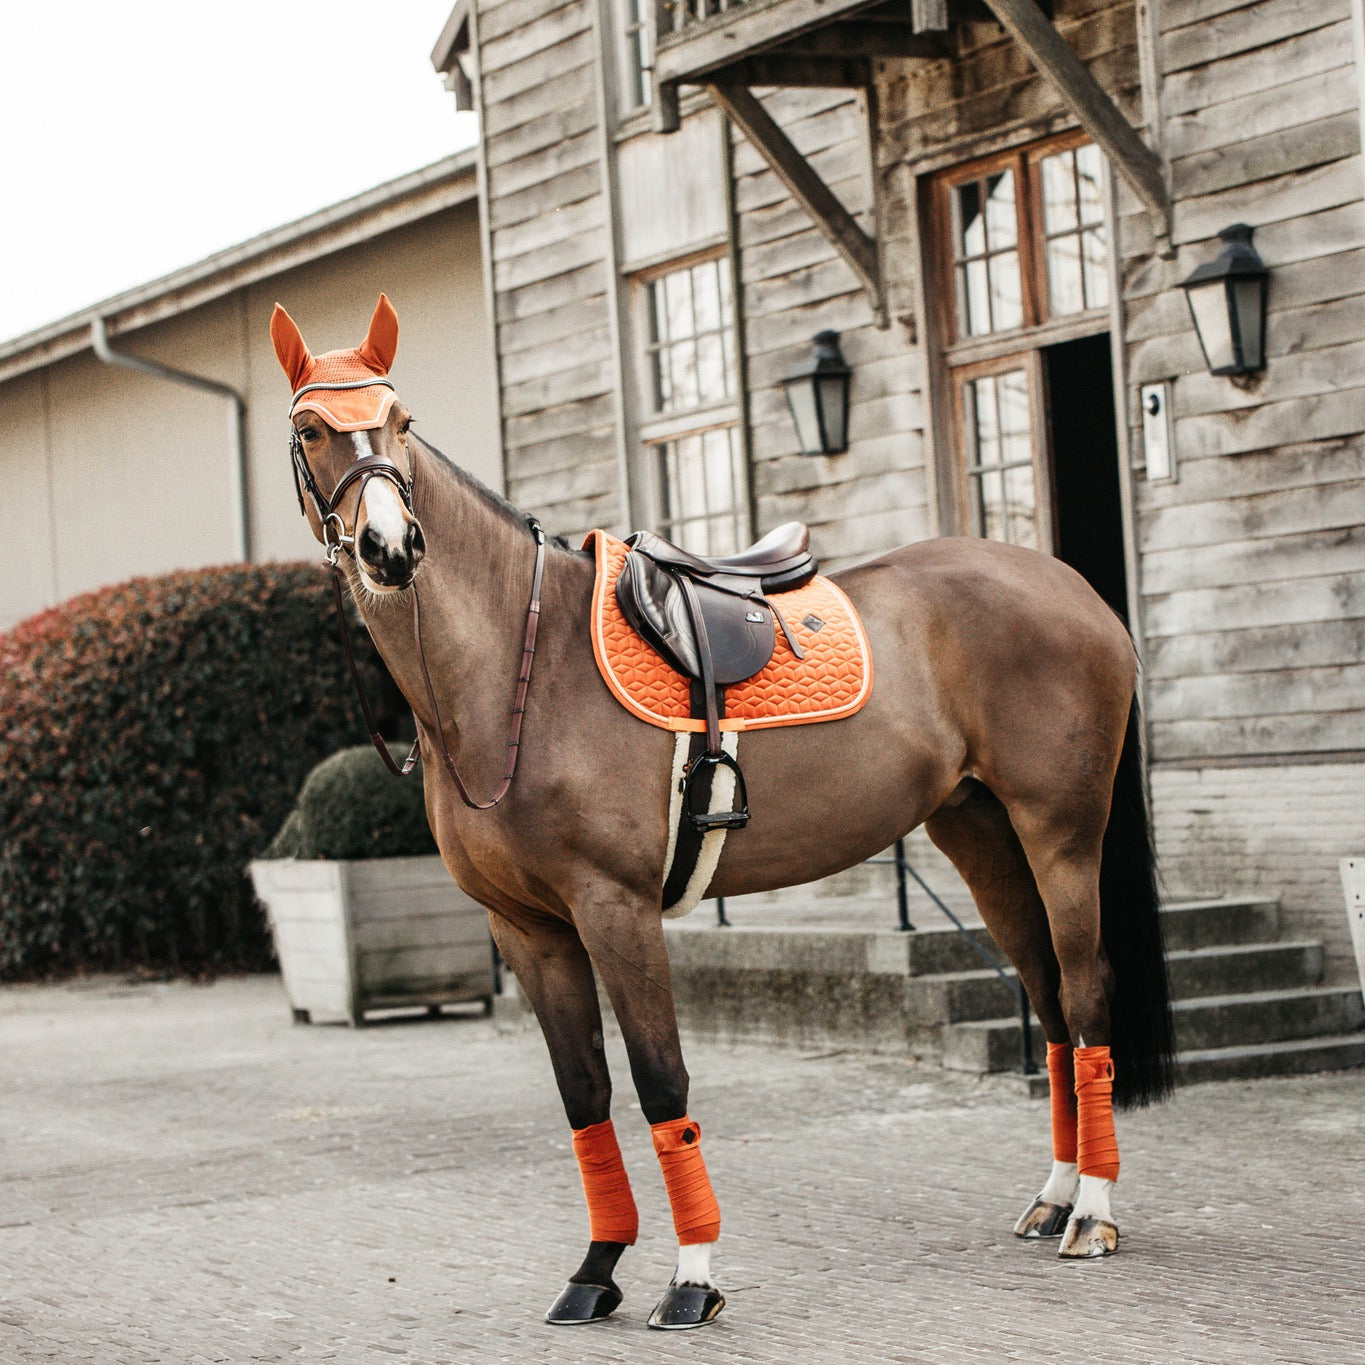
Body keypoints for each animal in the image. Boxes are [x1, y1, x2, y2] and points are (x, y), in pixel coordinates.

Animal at [266, 298, 1173, 1332]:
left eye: (402, 420)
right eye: (310, 429)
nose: (390, 547)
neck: (515, 669)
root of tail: (1073, 589)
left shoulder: (614, 909)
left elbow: (660, 1078)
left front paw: (691, 1276)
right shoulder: (527, 928)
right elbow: (582, 1091)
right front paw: (595, 1269)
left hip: (1060, 830)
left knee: (1087, 989)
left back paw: (1093, 1213)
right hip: (981, 836)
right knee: (1052, 1002)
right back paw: (1055, 1195)